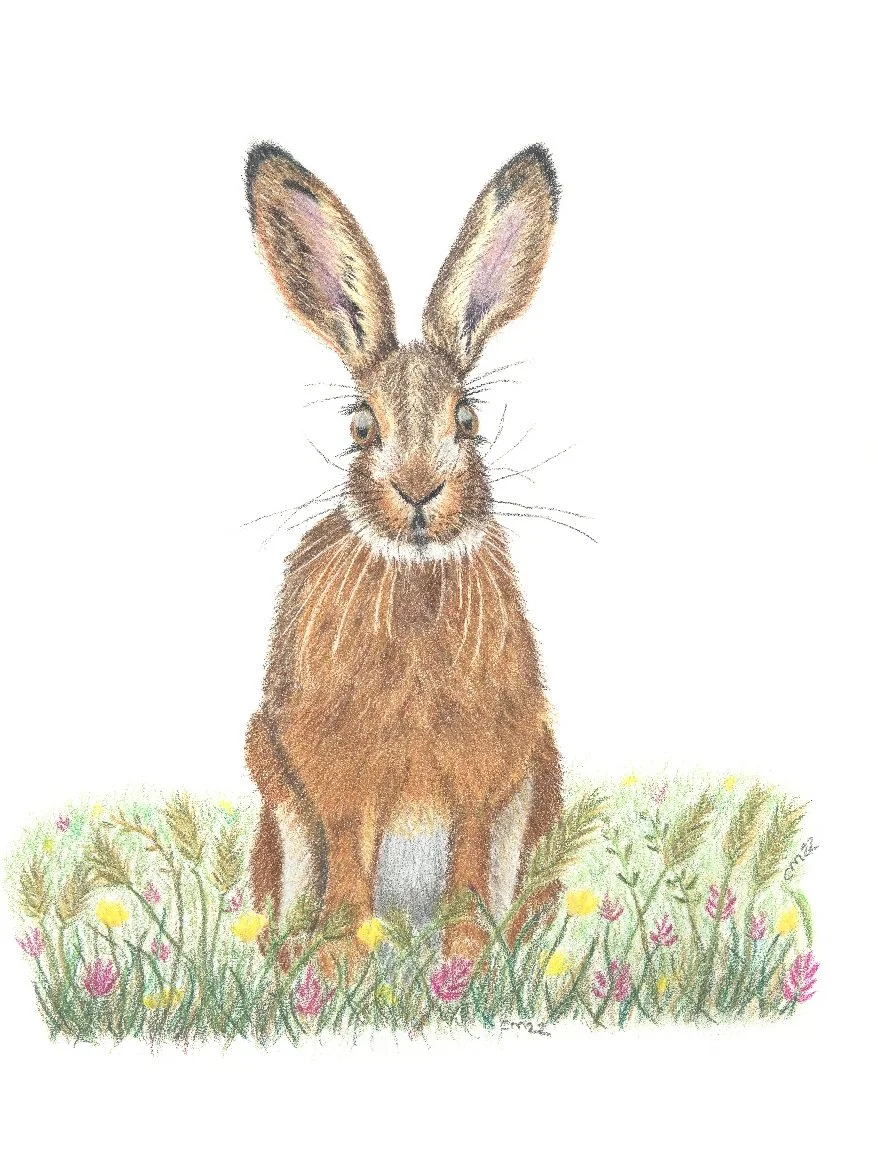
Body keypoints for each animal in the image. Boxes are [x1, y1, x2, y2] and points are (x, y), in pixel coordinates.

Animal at [244, 142, 563, 966]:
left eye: (468, 419)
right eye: (361, 426)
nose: (419, 488)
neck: (416, 580)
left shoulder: (493, 766)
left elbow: (471, 851)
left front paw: (467, 950)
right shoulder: (332, 772)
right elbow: (351, 850)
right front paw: (339, 957)